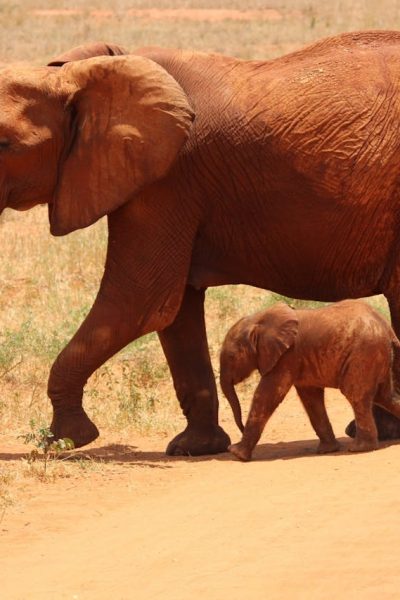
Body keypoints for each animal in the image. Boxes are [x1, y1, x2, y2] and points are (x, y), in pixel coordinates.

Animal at [220, 302, 400, 462]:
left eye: (231, 357)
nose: (241, 428)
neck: (259, 319)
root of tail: (388, 329)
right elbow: (311, 399)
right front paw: (327, 450)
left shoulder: (287, 356)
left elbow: (267, 395)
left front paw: (236, 454)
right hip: (376, 355)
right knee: (386, 397)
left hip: (364, 354)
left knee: (357, 395)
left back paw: (359, 449)